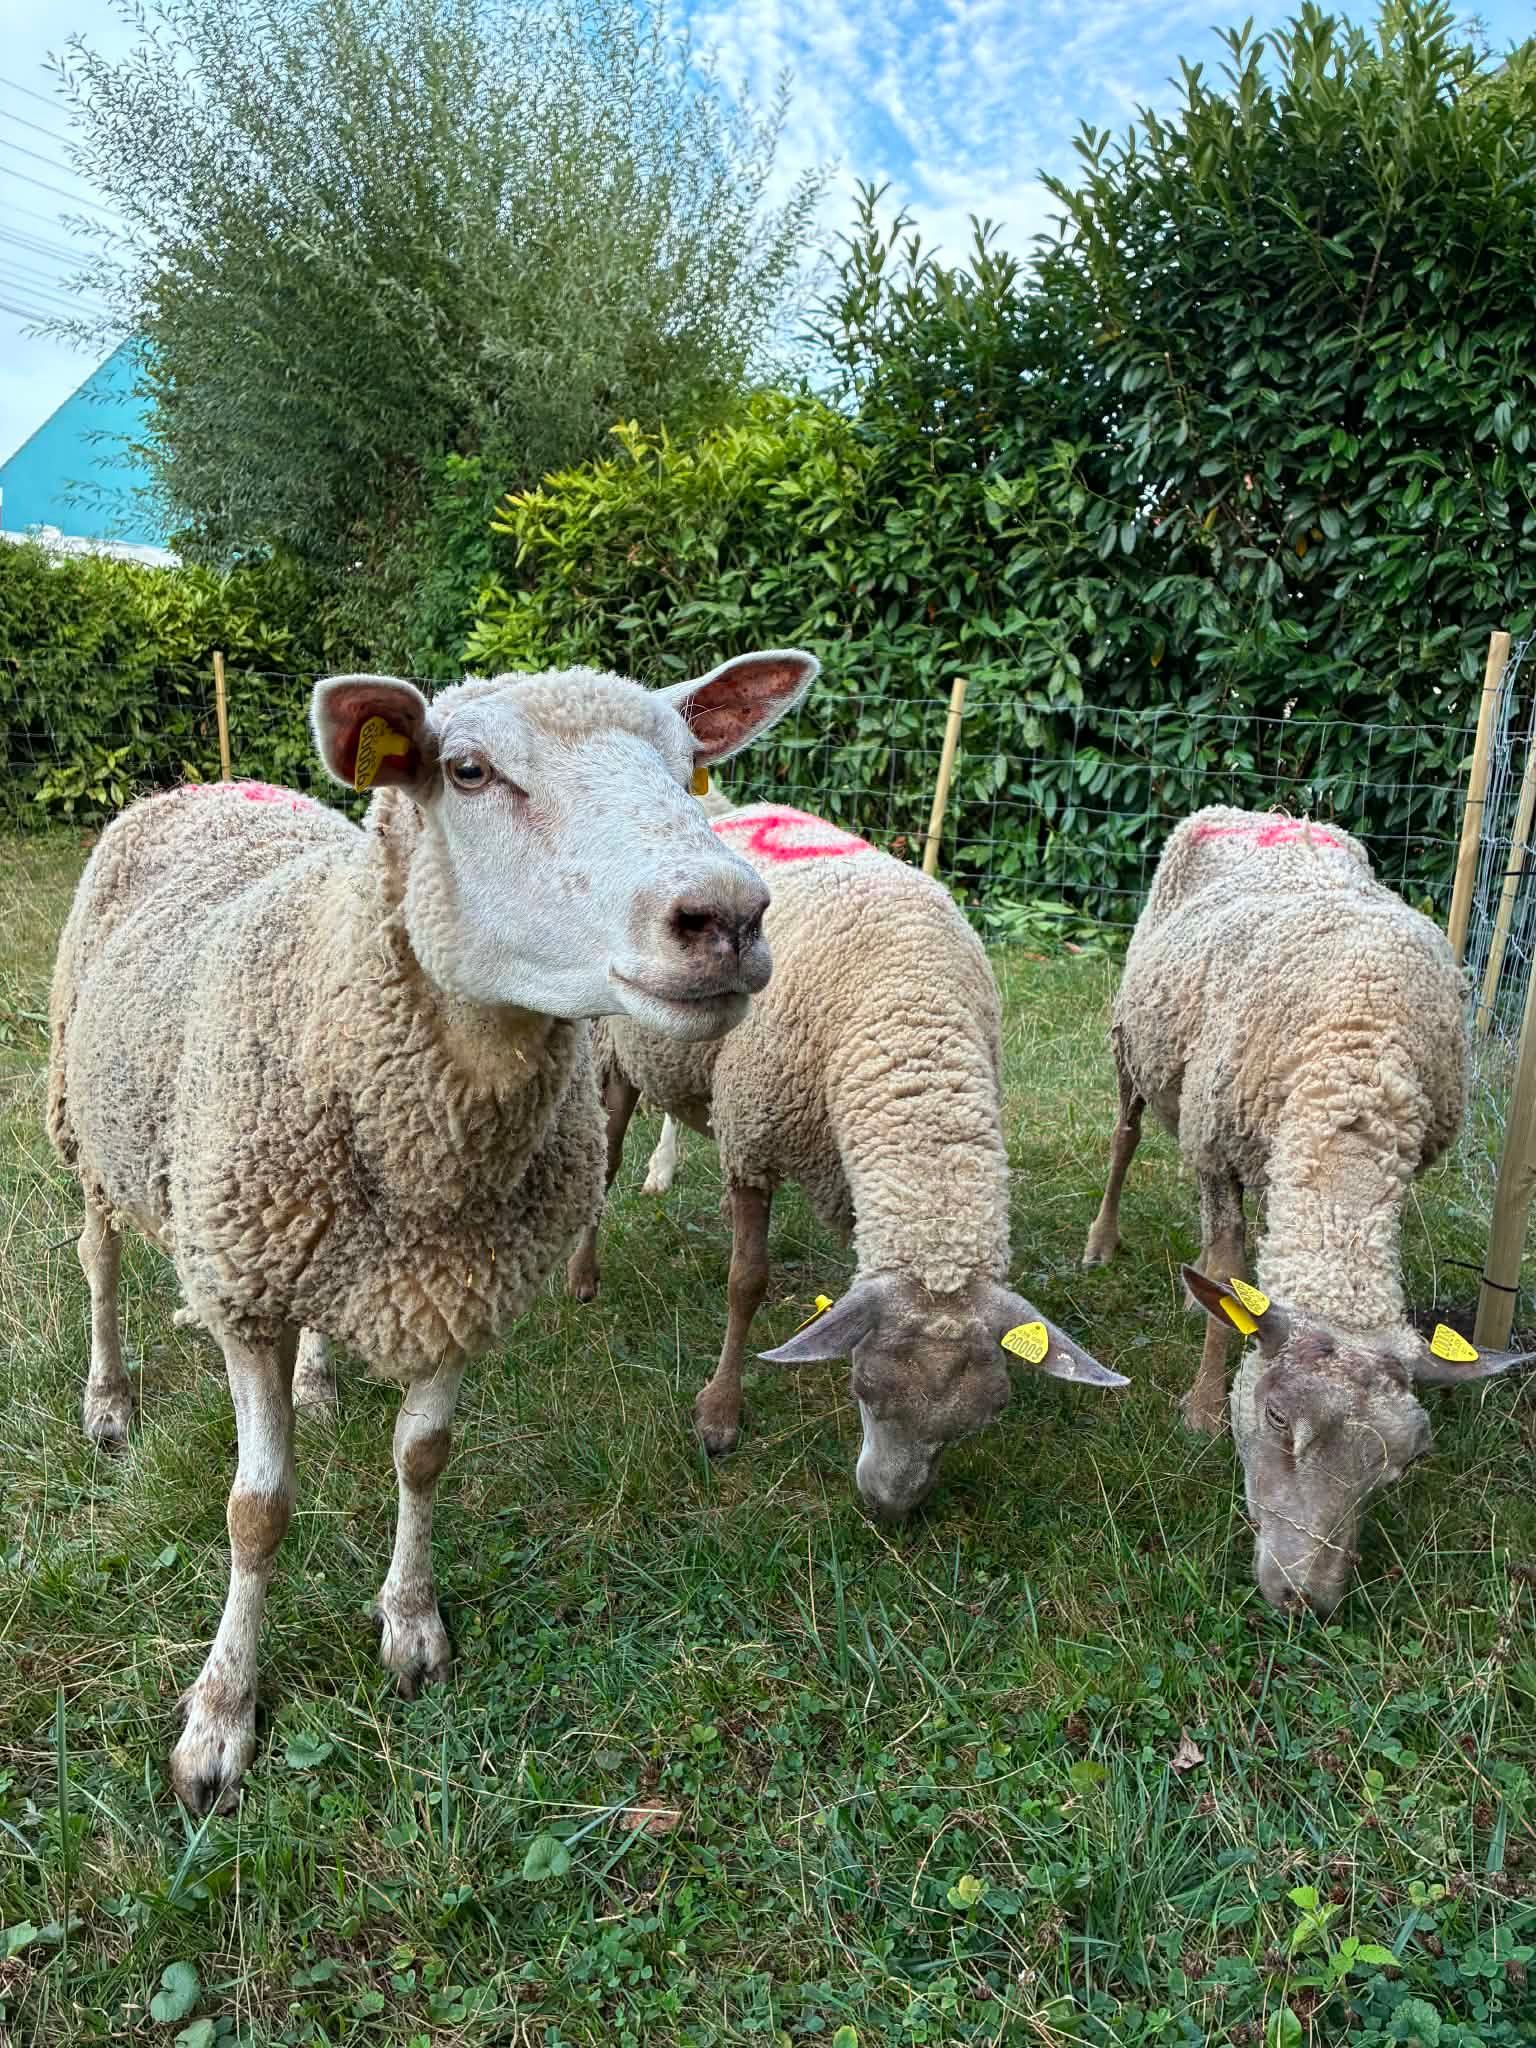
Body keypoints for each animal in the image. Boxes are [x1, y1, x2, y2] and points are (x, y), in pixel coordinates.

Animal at [46, 650, 817, 1812]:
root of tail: (208, 784)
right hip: (83, 1114)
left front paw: (410, 1626)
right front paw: (221, 1716)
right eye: (467, 770)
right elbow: (255, 1511)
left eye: (691, 763)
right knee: (98, 1260)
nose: (725, 915)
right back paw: (110, 1401)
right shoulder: (246, 1290)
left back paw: (320, 1382)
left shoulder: (462, 1283)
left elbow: (424, 1456)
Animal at [565, 800, 1127, 1517]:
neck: (909, 1010)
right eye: (864, 1389)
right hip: (616, 1048)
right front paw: (720, 1414)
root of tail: (731, 808)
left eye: (980, 1421)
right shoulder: (753, 1137)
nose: (889, 1509)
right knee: (604, 1163)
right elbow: (746, 1281)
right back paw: (583, 1274)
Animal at [1081, 803, 1534, 1614]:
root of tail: (1265, 813)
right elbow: (1229, 1268)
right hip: (1136, 1049)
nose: (1306, 1602)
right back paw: (1103, 1241)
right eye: (1276, 1419)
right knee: (1125, 1139)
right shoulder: (1215, 1149)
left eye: (1405, 1462)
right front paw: (1201, 1411)